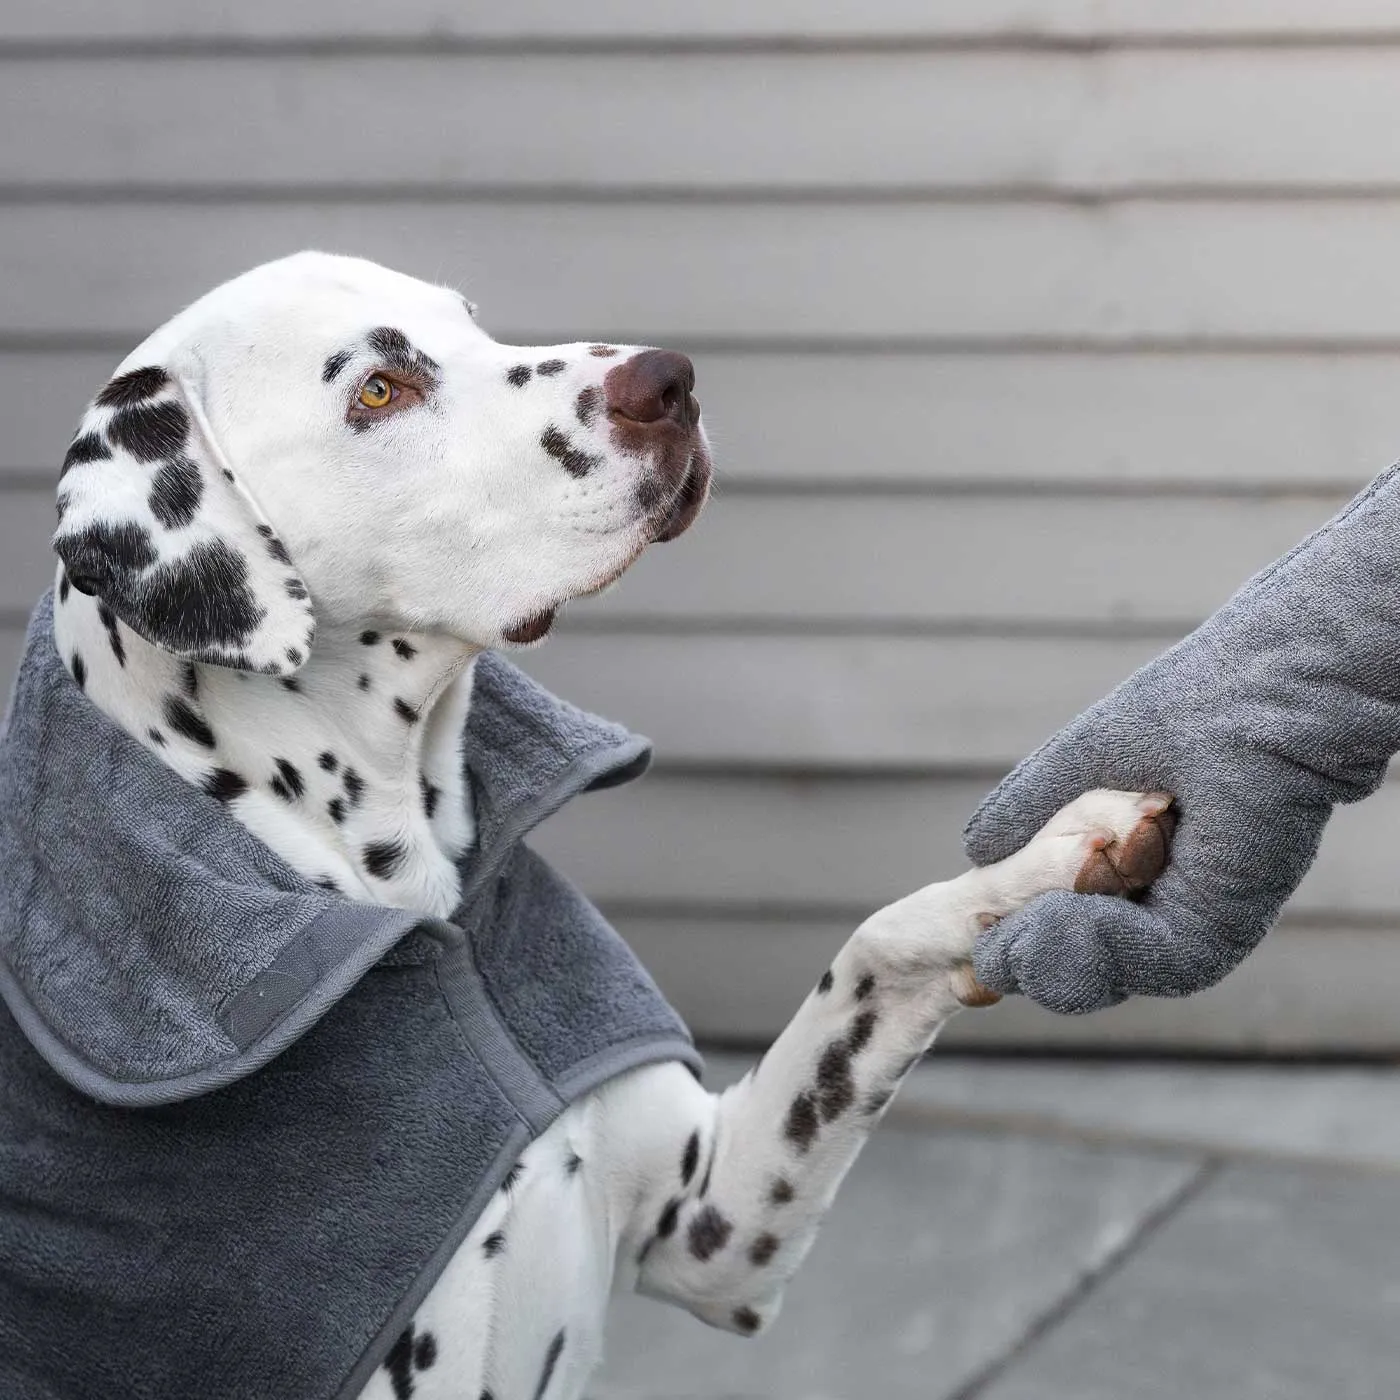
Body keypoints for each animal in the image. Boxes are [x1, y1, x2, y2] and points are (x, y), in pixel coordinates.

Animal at [46, 252, 1170, 1400]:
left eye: (469, 323)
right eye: (378, 390)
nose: (668, 380)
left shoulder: (711, 1227)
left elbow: (877, 949)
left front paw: (1055, 853)